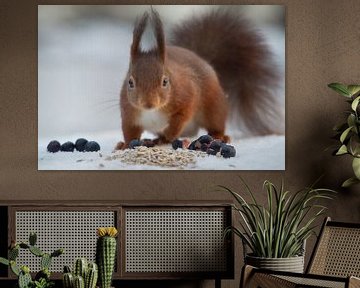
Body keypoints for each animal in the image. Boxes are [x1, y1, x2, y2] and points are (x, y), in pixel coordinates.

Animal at [116, 9, 280, 150]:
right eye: (130, 82)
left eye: (165, 81)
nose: (148, 103)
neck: (153, 111)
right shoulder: (129, 113)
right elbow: (129, 131)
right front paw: (125, 145)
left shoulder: (187, 94)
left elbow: (182, 116)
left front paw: (170, 133)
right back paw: (157, 139)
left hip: (214, 107)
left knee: (215, 125)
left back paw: (218, 136)